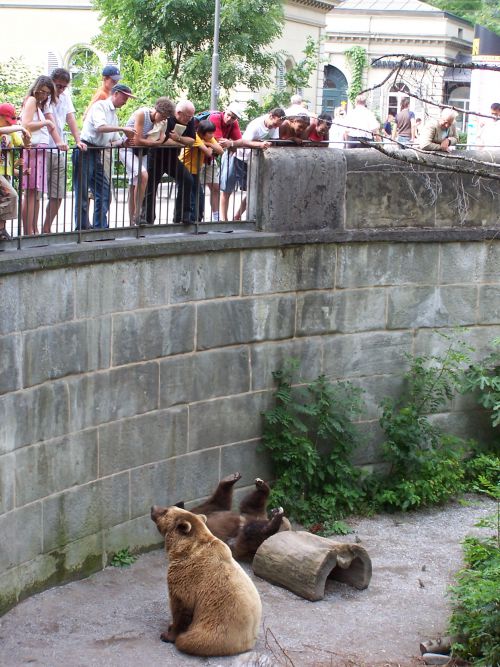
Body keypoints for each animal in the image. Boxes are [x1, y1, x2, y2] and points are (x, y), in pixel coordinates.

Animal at [151, 506, 262, 656]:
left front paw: (167, 635)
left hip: (215, 630)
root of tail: (248, 644)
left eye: (165, 511)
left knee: (190, 641)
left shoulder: (188, 577)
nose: (153, 508)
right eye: (169, 508)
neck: (184, 550)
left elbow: (181, 606)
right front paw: (169, 626)